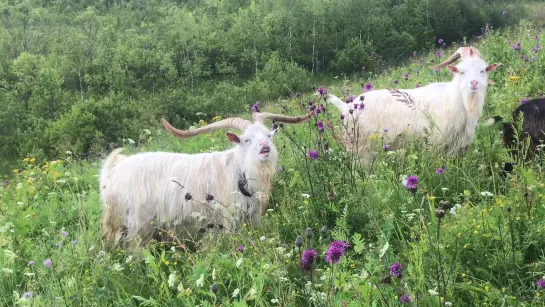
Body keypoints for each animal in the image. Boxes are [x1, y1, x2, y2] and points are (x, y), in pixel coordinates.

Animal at [98, 110, 310, 250]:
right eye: (246, 140)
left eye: (268, 135)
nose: (265, 147)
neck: (237, 169)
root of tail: (112, 171)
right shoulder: (226, 220)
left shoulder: (253, 216)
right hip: (135, 224)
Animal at [326, 46, 500, 161]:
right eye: (461, 71)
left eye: (483, 70)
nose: (474, 83)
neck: (455, 98)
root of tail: (347, 107)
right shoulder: (436, 142)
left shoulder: (457, 146)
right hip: (360, 148)